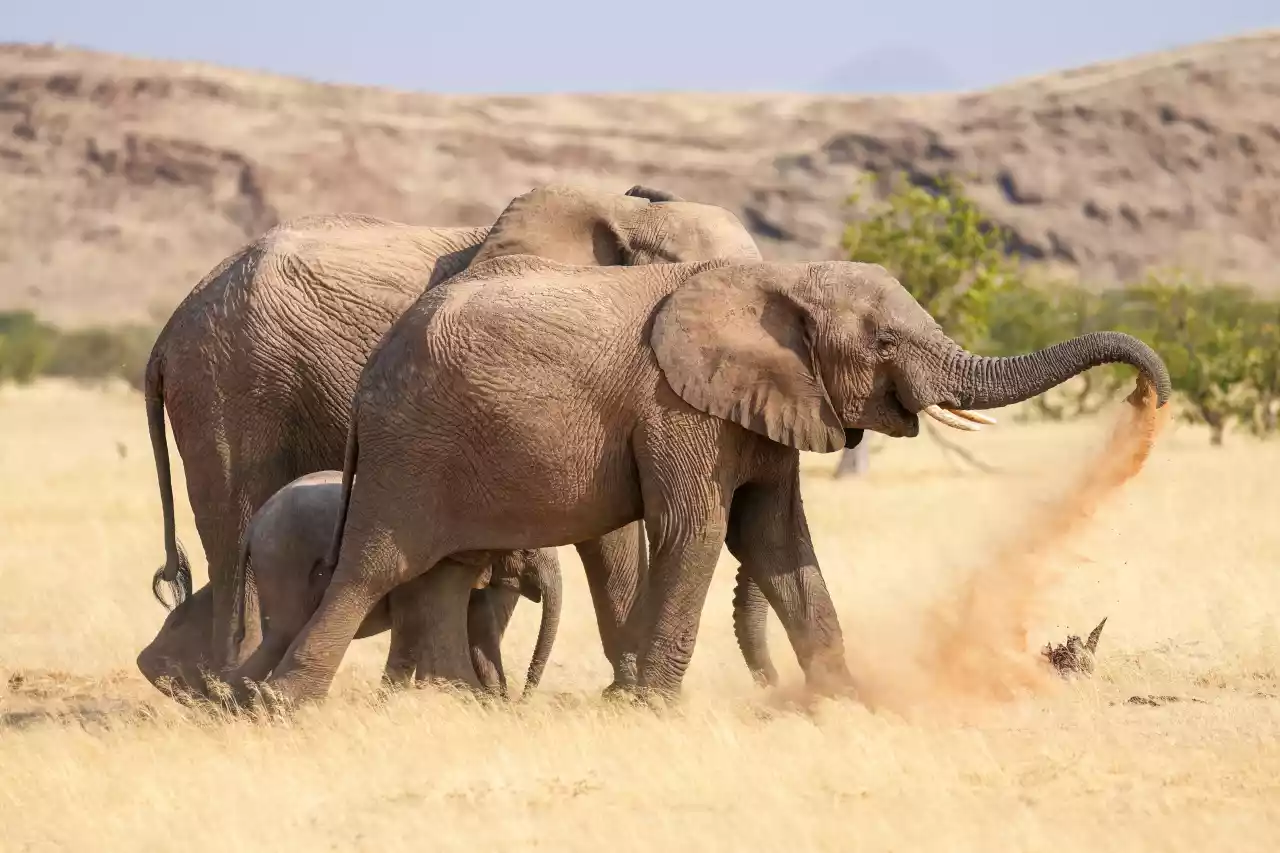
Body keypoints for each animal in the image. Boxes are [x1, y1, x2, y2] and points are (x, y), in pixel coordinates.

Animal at [137, 470, 562, 701]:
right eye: (527, 548)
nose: (524, 699)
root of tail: (256, 524)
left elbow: (475, 629)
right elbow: (413, 628)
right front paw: (388, 702)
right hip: (285, 555)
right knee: (285, 631)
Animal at [257, 255, 1171, 708]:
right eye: (882, 343)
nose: (1148, 394)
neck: (780, 283)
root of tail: (371, 372)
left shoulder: (763, 403)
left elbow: (775, 538)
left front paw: (843, 700)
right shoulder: (677, 406)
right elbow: (695, 530)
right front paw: (650, 709)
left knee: (441, 574)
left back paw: (442, 706)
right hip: (411, 449)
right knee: (377, 564)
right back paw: (285, 705)